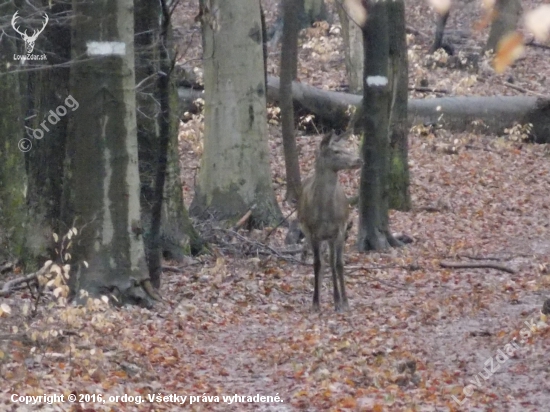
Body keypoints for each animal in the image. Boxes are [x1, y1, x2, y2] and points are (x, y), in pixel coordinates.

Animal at [300, 132, 364, 312]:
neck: (325, 213)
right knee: (323, 262)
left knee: (332, 262)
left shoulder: (340, 229)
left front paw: (343, 302)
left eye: (345, 146)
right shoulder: (312, 231)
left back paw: (338, 300)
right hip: (313, 233)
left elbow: (339, 264)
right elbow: (317, 264)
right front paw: (315, 303)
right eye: (336, 151)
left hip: (332, 235)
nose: (359, 160)